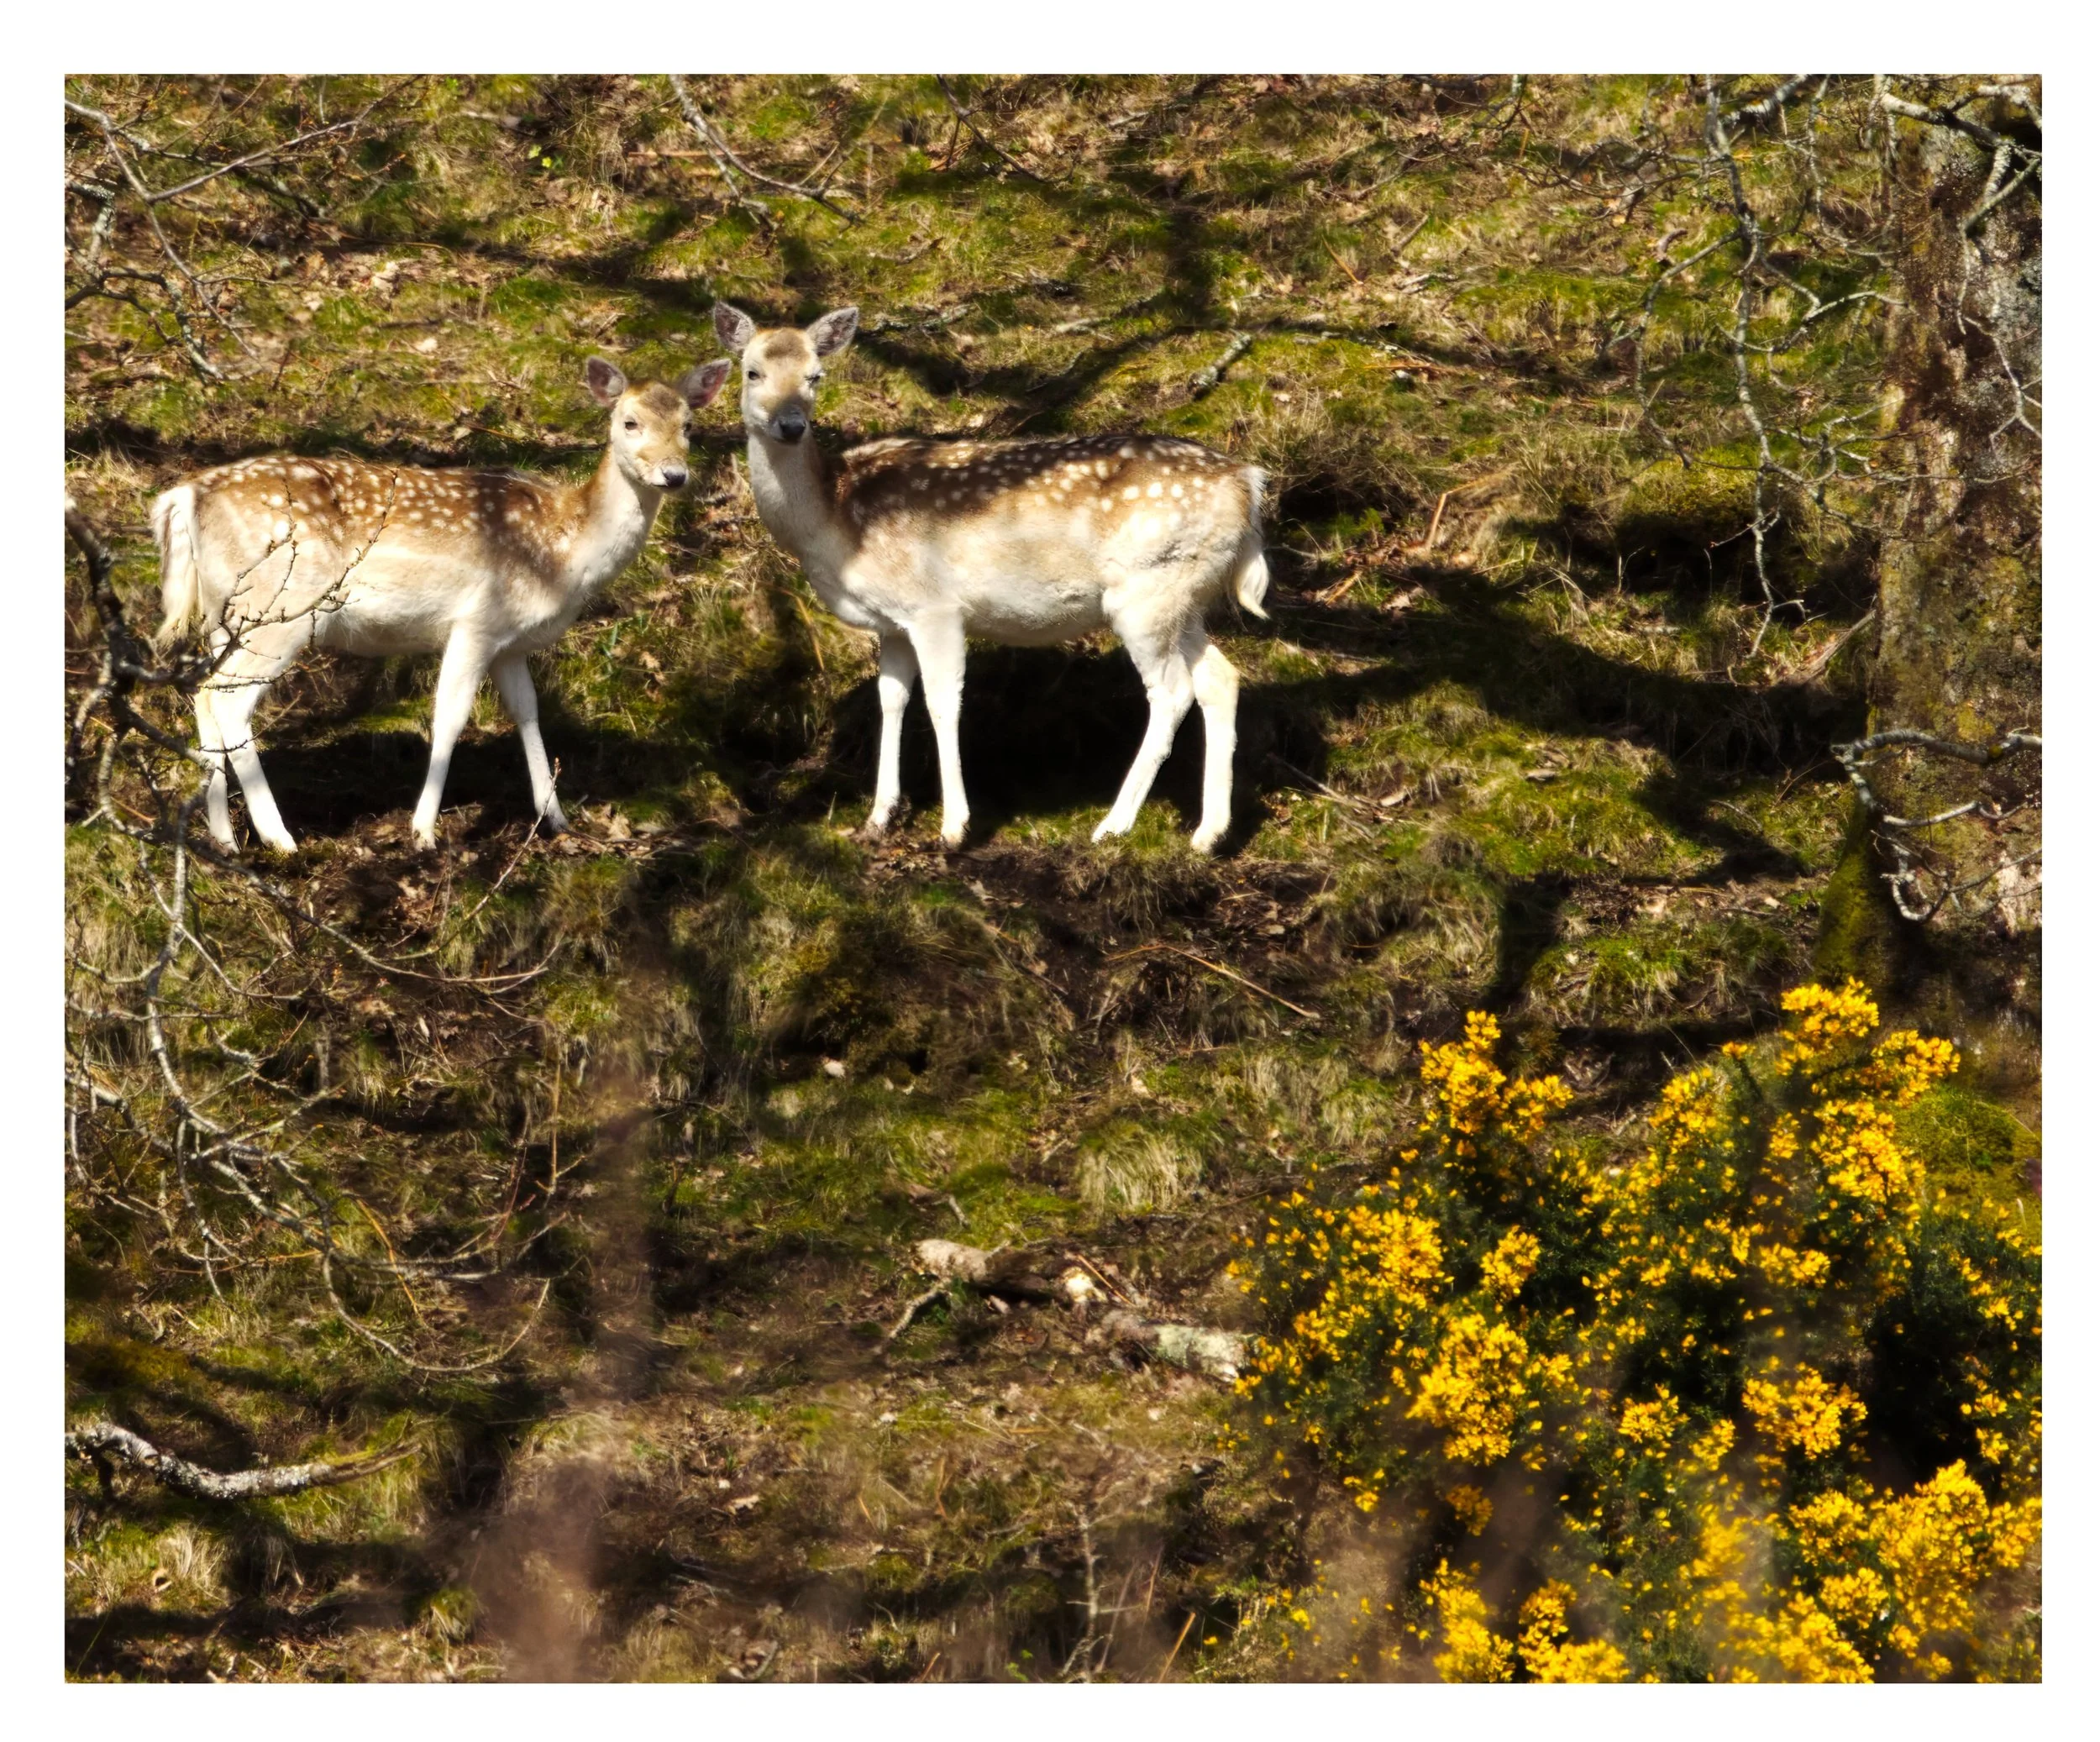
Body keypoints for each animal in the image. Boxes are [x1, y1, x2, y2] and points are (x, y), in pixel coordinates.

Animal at [150, 354, 730, 853]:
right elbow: (450, 716)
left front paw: (556, 818)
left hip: (226, 614)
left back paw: (223, 838)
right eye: (629, 422)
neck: (565, 552)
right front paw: (423, 831)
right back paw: (279, 838)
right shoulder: (478, 620)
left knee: (203, 694)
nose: (674, 475)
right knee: (228, 700)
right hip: (283, 609)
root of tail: (186, 495)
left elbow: (528, 713)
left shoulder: (512, 643)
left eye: (689, 426)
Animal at [713, 301, 1269, 855]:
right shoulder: (892, 623)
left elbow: (942, 702)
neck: (834, 520)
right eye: (752, 371)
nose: (790, 425)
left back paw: (1113, 824)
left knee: (1172, 692)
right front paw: (878, 817)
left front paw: (954, 826)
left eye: (815, 376)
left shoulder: (933, 606)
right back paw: (1208, 833)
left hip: (1145, 592)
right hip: (1184, 595)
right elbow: (891, 700)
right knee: (1220, 678)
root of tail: (1248, 484)